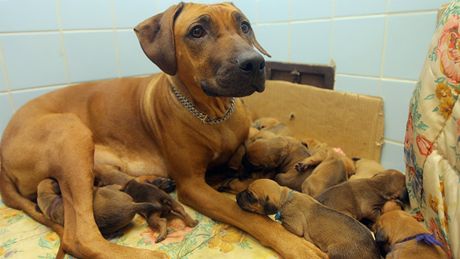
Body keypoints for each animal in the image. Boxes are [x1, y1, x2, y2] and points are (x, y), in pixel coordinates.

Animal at [0, 2, 328, 259]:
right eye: (197, 31)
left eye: (244, 26)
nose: (255, 63)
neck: (213, 113)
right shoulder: (193, 185)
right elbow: (246, 214)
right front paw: (296, 245)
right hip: (71, 134)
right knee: (81, 236)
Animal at [235, 181, 380, 259]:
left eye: (250, 196)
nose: (236, 196)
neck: (285, 197)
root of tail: (374, 252)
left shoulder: (295, 225)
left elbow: (283, 222)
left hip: (335, 251)